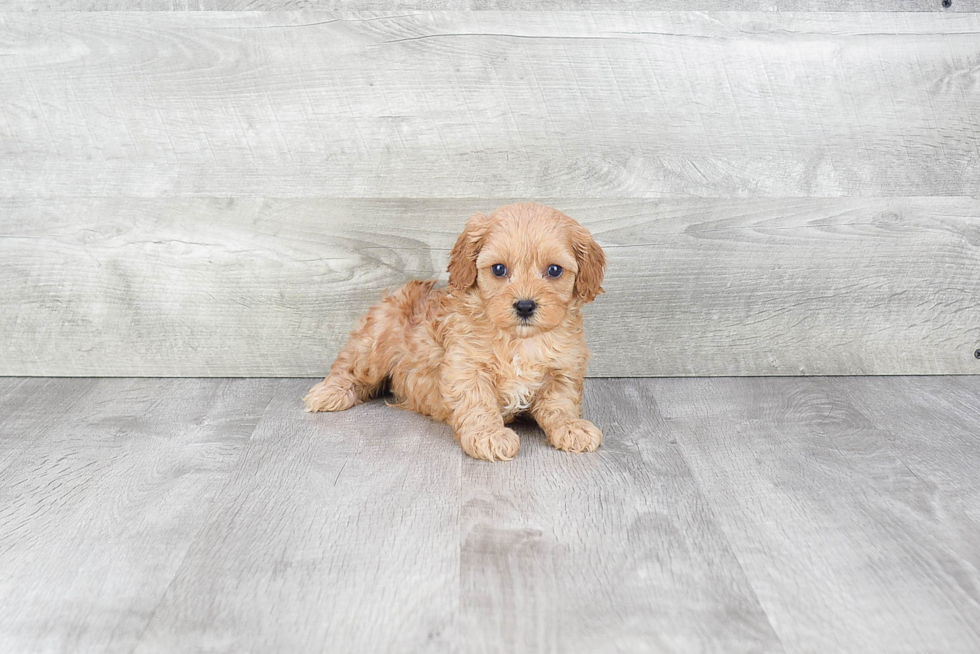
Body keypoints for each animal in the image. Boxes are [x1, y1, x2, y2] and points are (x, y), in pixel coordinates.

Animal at [302, 202, 604, 464]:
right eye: (498, 269)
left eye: (554, 270)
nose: (525, 305)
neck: (519, 340)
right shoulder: (466, 367)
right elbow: (478, 402)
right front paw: (488, 435)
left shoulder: (563, 369)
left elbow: (560, 403)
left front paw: (571, 427)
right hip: (374, 344)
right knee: (349, 367)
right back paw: (329, 393)